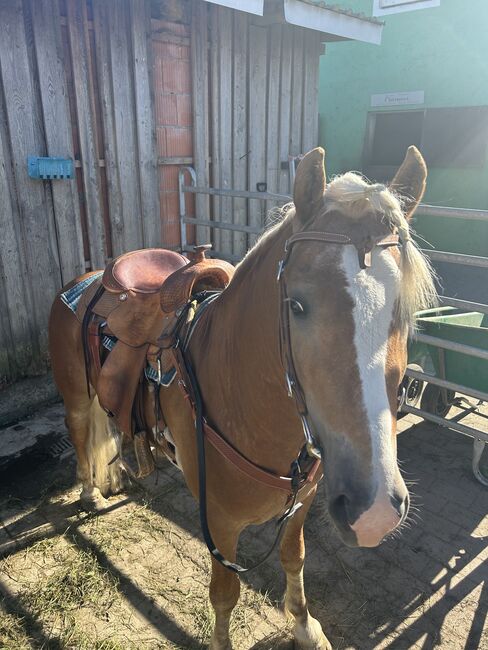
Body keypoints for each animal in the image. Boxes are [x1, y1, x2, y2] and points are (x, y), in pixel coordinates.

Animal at [49, 146, 436, 650]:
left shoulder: (302, 506)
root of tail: (89, 277)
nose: (373, 512)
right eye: (296, 304)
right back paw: (90, 493)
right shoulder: (219, 525)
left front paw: (305, 627)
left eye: (404, 312)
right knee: (81, 435)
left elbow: (294, 559)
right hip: (77, 397)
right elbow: (225, 594)